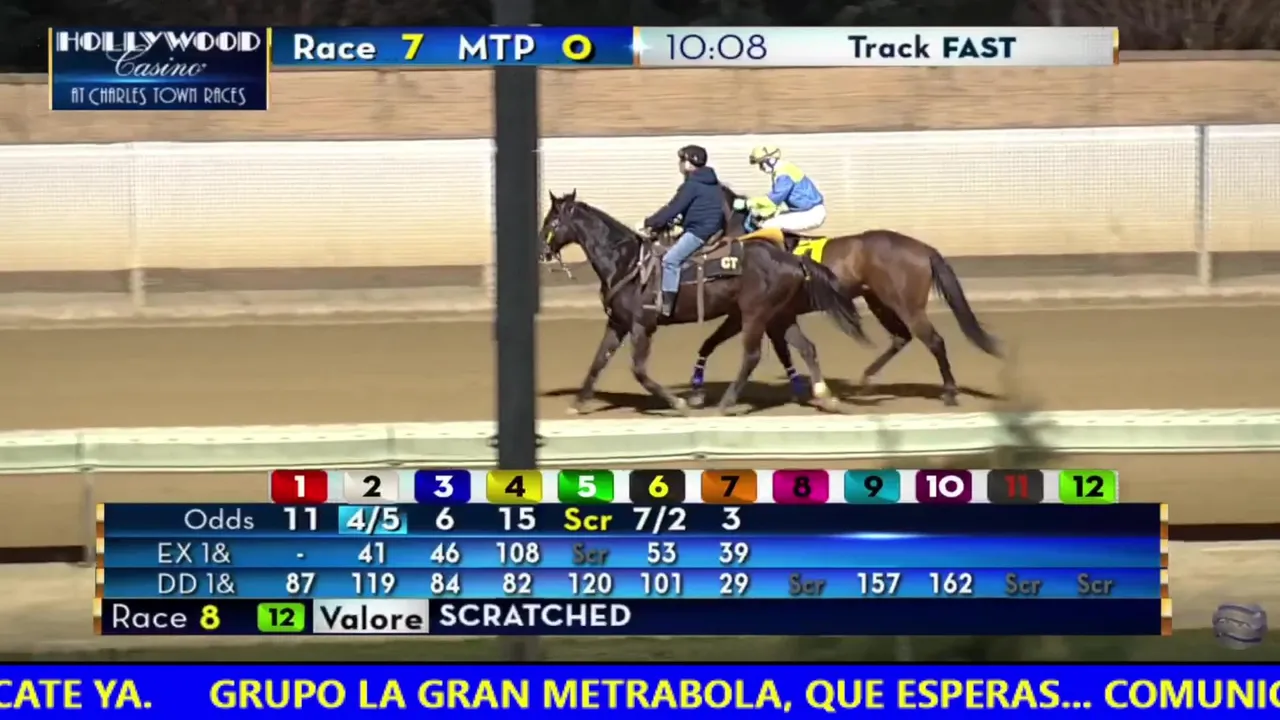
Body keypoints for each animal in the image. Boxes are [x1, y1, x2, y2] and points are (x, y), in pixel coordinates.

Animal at [539, 189, 872, 416]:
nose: (542, 251)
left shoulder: (642, 326)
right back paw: (825, 396)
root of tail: (791, 257)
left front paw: (678, 402)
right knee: (807, 348)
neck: (628, 263)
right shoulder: (617, 323)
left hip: (755, 315)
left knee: (752, 357)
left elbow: (639, 370)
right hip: (779, 316)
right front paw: (578, 402)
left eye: (552, 220)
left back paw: (726, 403)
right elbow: (598, 361)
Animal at [686, 185, 1001, 407]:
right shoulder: (772, 315)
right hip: (879, 301)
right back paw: (865, 379)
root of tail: (924, 249)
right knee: (901, 337)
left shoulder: (754, 312)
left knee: (934, 341)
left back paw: (949, 392)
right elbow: (786, 349)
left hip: (907, 304)